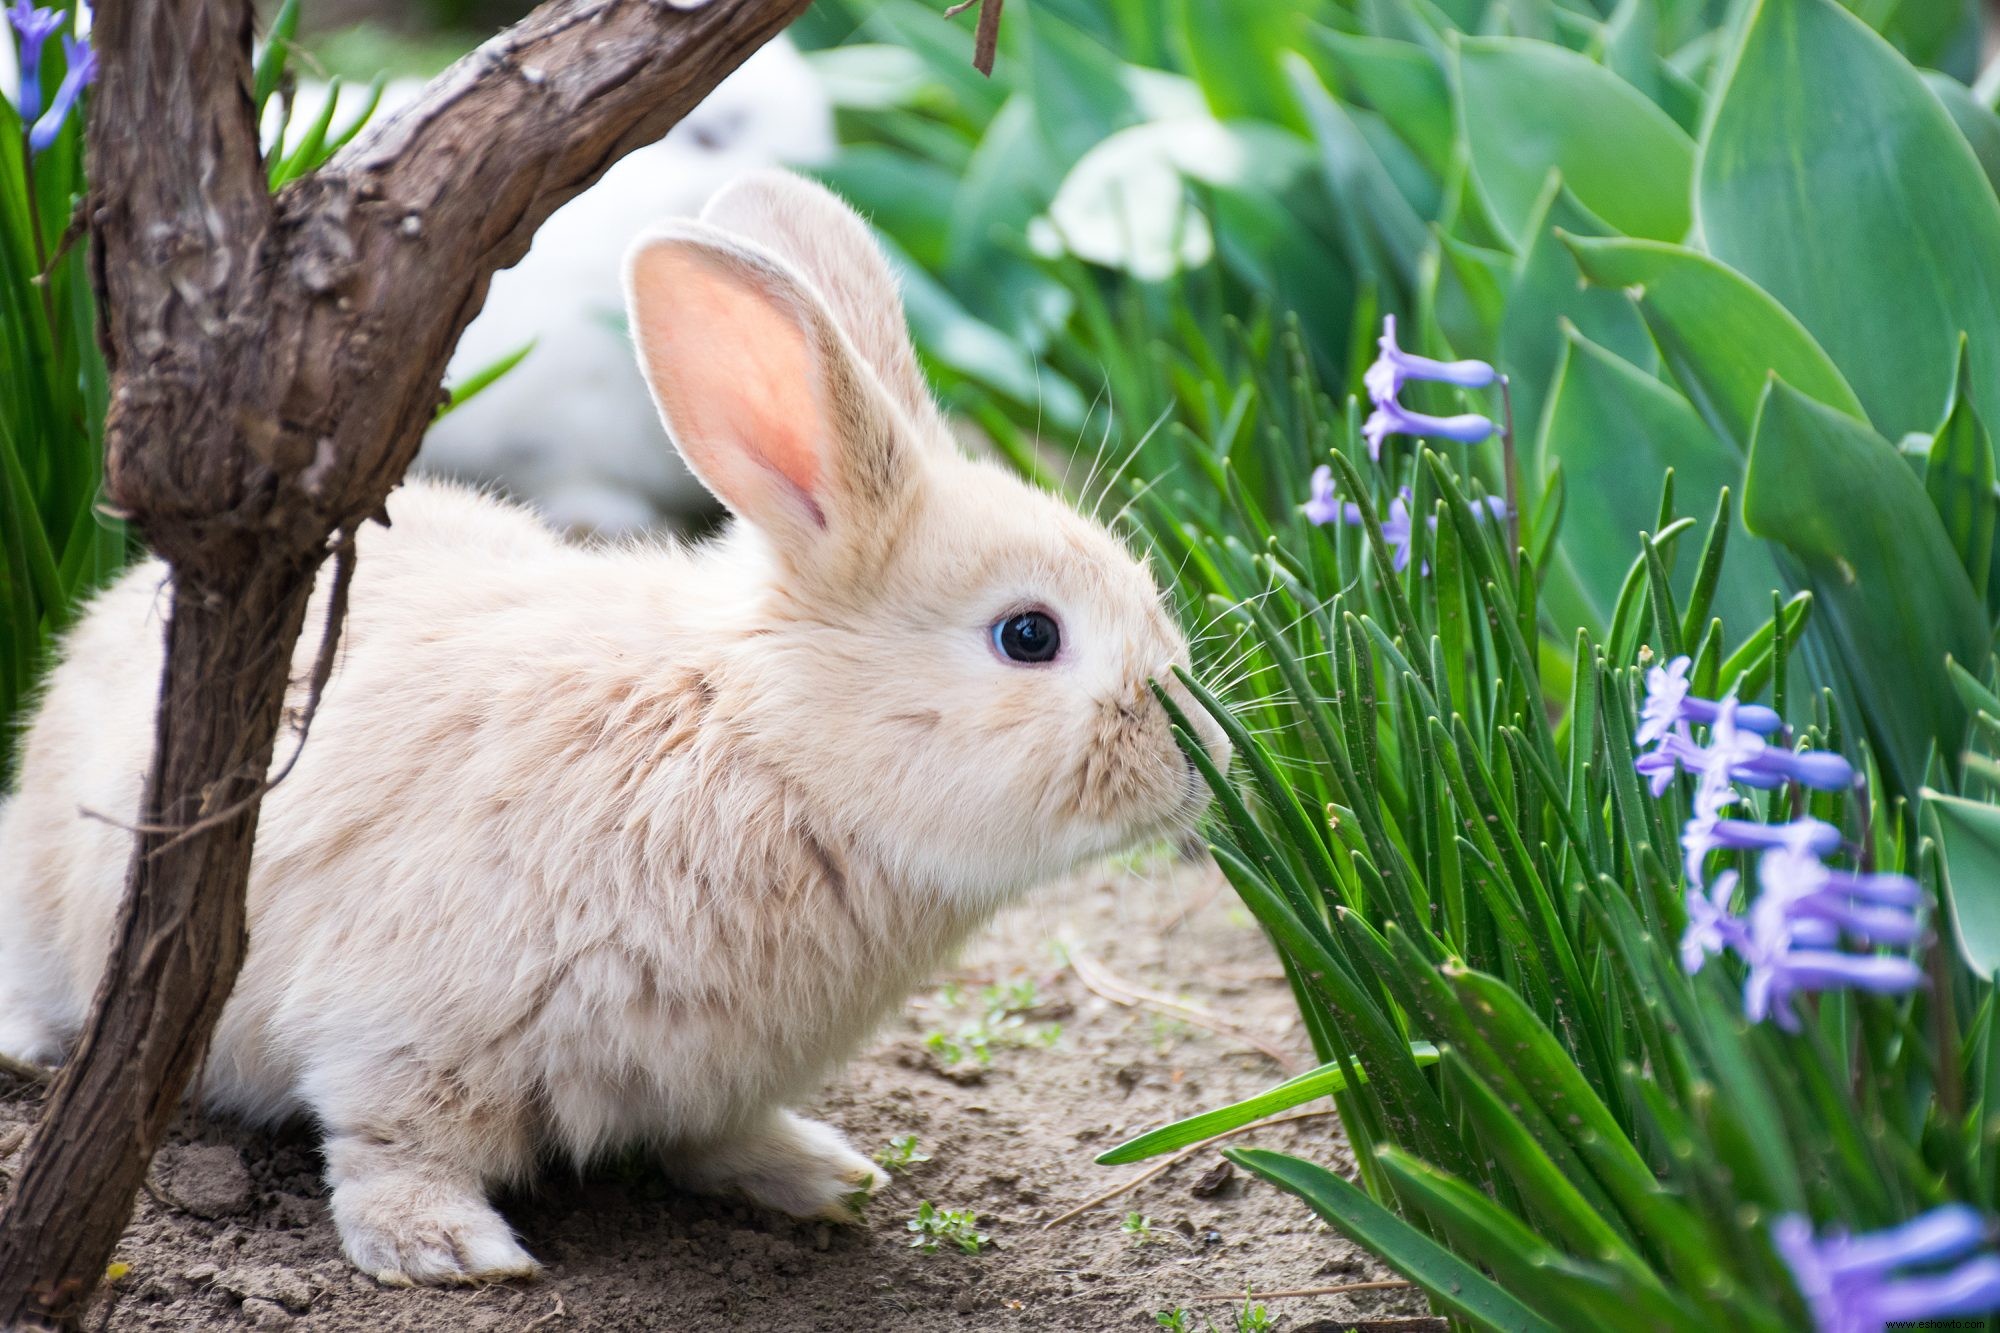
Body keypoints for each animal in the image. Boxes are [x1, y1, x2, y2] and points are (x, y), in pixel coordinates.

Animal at [0, 169, 1224, 1280]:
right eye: (1029, 634)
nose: (1200, 758)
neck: (764, 747)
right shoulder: (402, 1030)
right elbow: (393, 1140)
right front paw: (445, 1249)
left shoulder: (717, 1076)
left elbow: (719, 1136)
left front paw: (818, 1176)